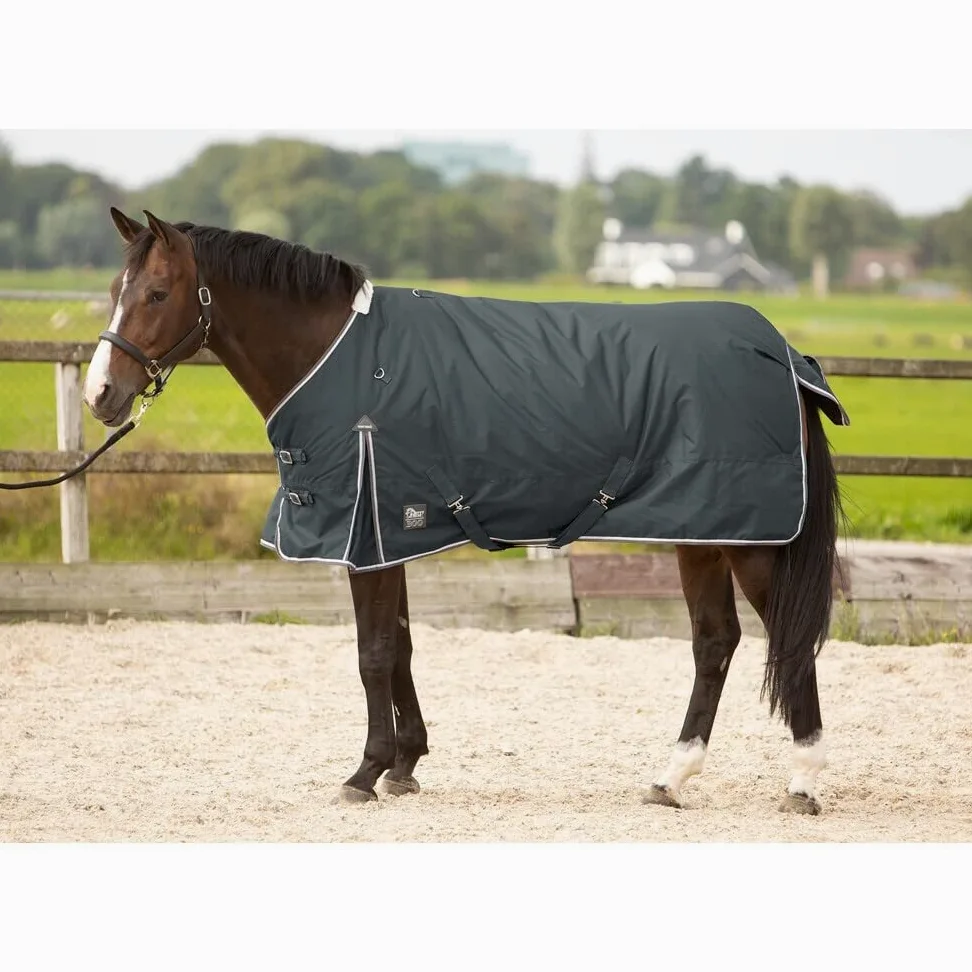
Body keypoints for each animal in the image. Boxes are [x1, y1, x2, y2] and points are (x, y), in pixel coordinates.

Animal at [82, 207, 847, 814]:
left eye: (157, 293)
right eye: (115, 292)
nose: (100, 395)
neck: (339, 358)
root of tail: (781, 353)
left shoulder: (367, 533)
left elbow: (373, 654)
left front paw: (364, 772)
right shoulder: (389, 532)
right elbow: (401, 648)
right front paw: (404, 764)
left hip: (749, 539)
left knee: (784, 638)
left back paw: (803, 782)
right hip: (703, 531)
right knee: (715, 642)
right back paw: (670, 778)